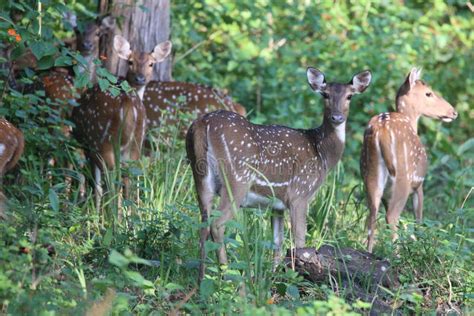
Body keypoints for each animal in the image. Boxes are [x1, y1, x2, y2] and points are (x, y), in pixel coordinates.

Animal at [71, 35, 171, 212]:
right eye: (130, 62)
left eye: (151, 63)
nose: (140, 78)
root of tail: (128, 104)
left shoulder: (89, 147)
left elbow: (97, 184)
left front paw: (94, 212)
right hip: (135, 143)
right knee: (127, 178)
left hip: (103, 141)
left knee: (111, 180)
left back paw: (110, 216)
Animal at [187, 67, 372, 278]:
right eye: (325, 94)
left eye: (349, 96)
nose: (337, 117)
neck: (322, 153)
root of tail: (202, 123)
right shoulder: (300, 193)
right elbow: (300, 241)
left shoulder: (277, 204)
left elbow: (277, 241)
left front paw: (274, 274)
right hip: (237, 179)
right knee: (217, 224)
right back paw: (230, 278)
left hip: (200, 177)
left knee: (202, 224)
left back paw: (202, 278)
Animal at [362, 68, 458, 253]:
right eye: (428, 93)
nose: (453, 112)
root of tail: (381, 131)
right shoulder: (419, 184)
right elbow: (418, 219)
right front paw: (420, 245)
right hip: (403, 177)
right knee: (391, 215)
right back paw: (396, 254)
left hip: (370, 173)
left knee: (372, 214)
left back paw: (368, 252)